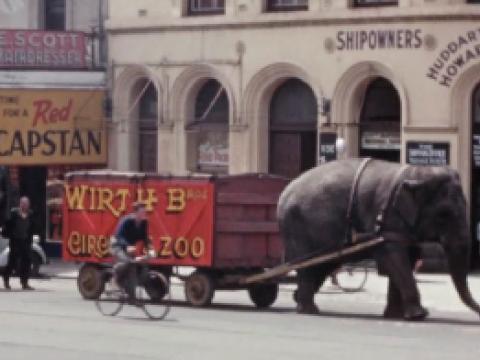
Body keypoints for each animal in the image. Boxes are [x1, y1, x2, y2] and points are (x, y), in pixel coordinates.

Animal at [276, 158, 480, 320]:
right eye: (443, 215)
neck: (416, 172)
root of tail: (283, 193)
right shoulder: (387, 219)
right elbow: (393, 257)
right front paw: (420, 315)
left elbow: (406, 258)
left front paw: (396, 316)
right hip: (299, 229)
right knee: (307, 267)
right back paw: (308, 310)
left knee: (321, 267)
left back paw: (298, 299)